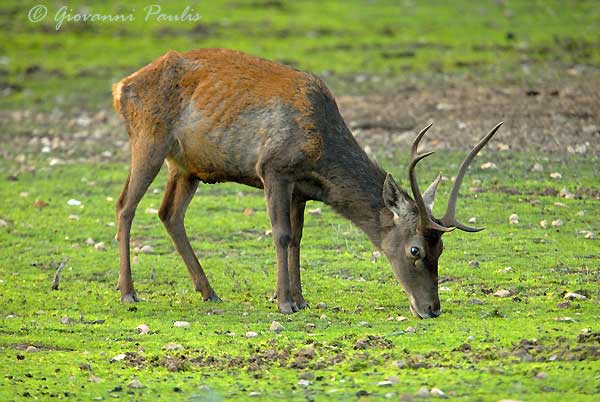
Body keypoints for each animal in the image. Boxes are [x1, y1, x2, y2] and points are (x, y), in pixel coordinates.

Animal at [112, 48, 502, 318]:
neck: (319, 150)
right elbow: (281, 235)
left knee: (169, 213)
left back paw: (208, 291)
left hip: (187, 167)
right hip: (148, 139)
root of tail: (121, 87)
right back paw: (128, 292)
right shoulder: (272, 168)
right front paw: (284, 302)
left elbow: (298, 239)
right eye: (415, 250)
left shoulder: (301, 190)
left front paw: (301, 299)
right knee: (125, 205)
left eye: (442, 249)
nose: (432, 308)